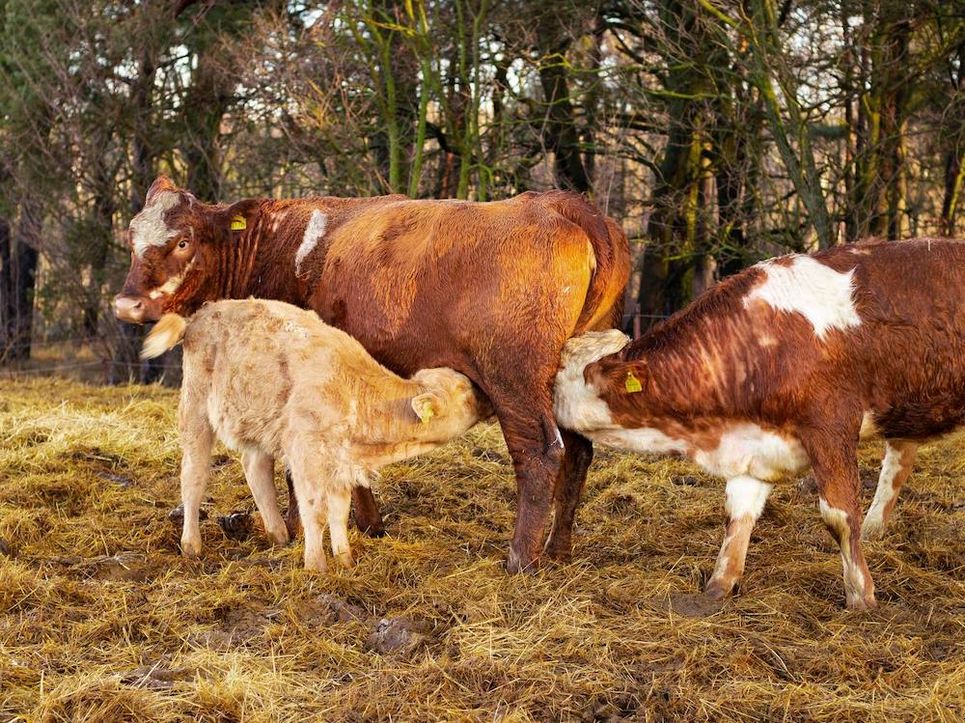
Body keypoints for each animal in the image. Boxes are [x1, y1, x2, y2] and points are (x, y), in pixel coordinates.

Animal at [141, 299, 490, 570]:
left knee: (255, 470)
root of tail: (203, 313)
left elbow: (339, 512)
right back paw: (192, 545)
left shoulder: (340, 463)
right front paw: (316, 565)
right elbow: (315, 510)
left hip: (257, 420)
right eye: (465, 393)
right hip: (196, 410)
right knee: (193, 476)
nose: (485, 395)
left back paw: (278, 534)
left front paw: (345, 561)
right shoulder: (306, 455)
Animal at [553, 238, 965, 609]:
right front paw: (718, 588)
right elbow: (738, 516)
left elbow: (840, 516)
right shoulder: (754, 447)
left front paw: (861, 596)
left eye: (560, 375)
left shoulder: (830, 427)